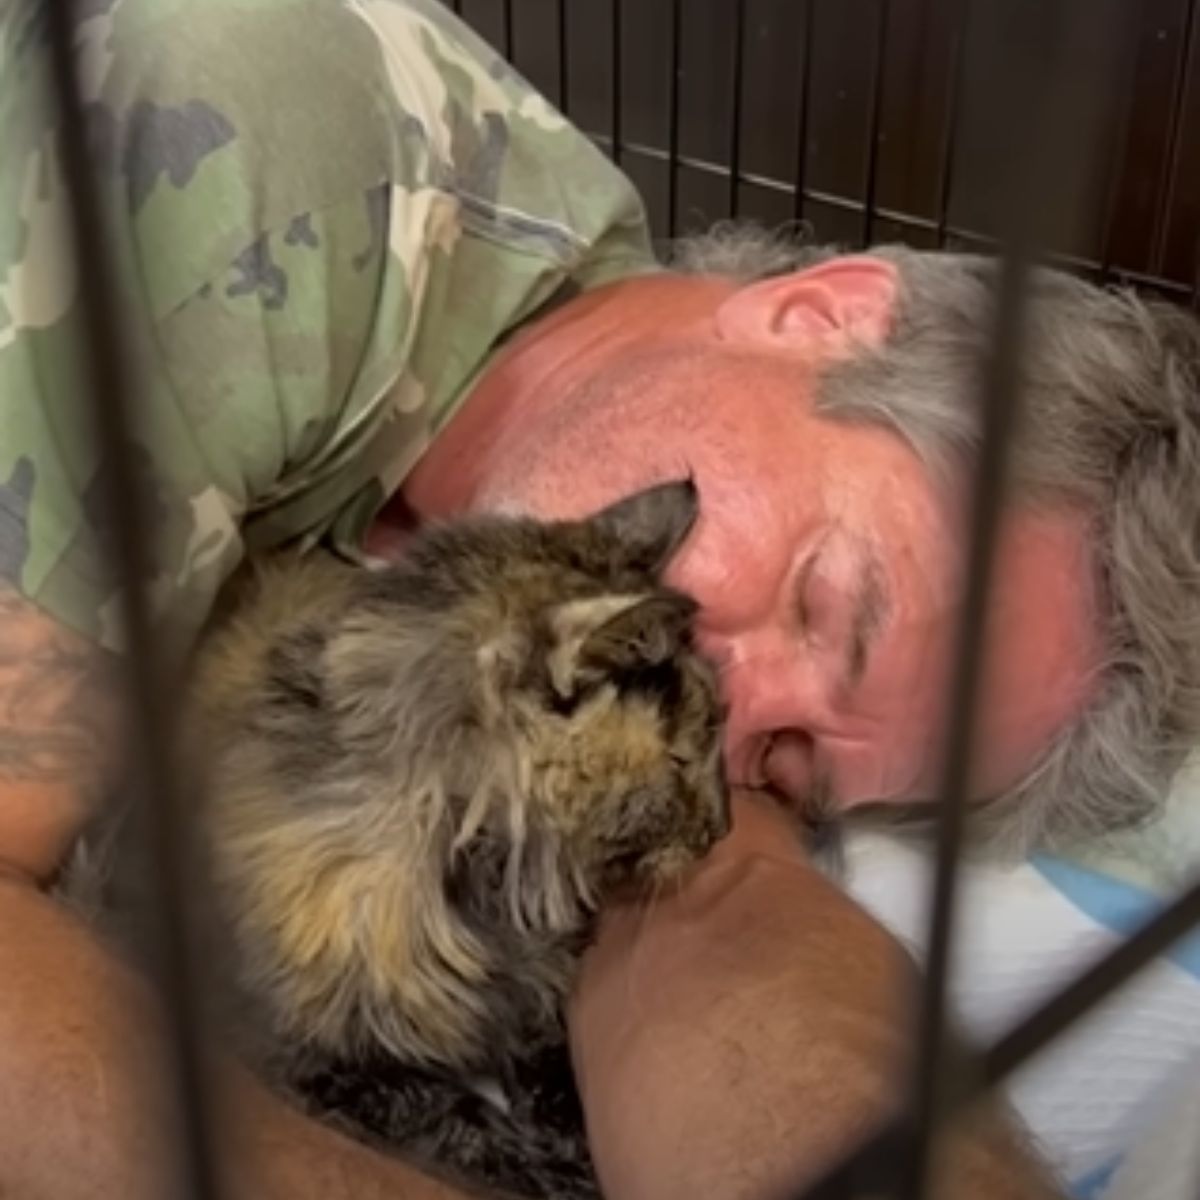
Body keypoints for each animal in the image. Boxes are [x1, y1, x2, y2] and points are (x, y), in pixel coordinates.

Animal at [177, 480, 724, 1200]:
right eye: (683, 759)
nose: (723, 830)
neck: (486, 897)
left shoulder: (539, 999)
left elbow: (551, 1068)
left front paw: (571, 1138)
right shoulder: (318, 1054)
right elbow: (456, 1125)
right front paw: (556, 1174)